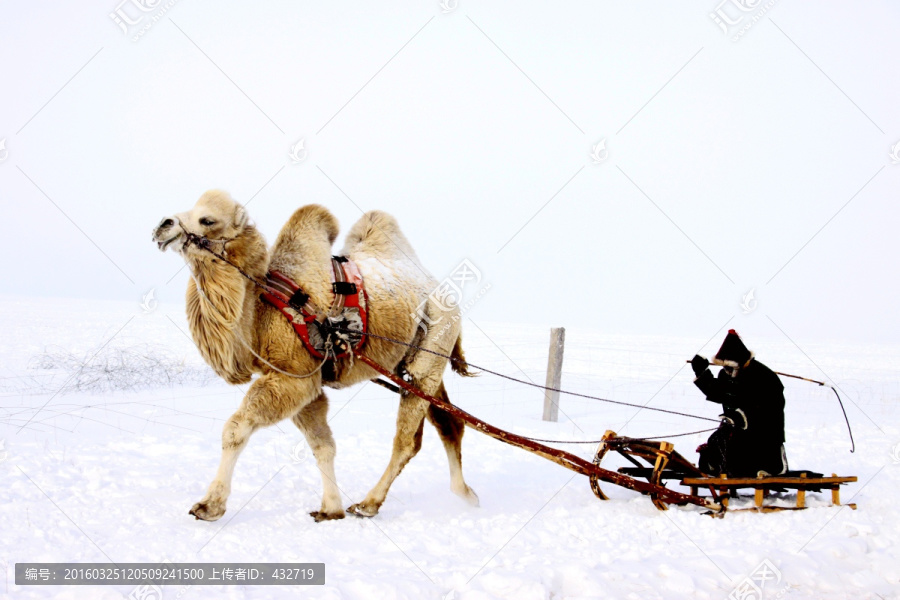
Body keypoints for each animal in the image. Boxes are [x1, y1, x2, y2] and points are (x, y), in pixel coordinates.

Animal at [151, 191, 482, 520]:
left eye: (207, 220)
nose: (162, 225)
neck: (260, 311)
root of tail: (442, 291)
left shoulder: (294, 376)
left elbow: (236, 429)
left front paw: (209, 505)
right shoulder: (306, 381)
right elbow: (323, 445)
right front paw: (330, 509)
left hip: (432, 350)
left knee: (407, 441)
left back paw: (368, 503)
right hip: (417, 364)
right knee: (450, 423)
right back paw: (465, 494)